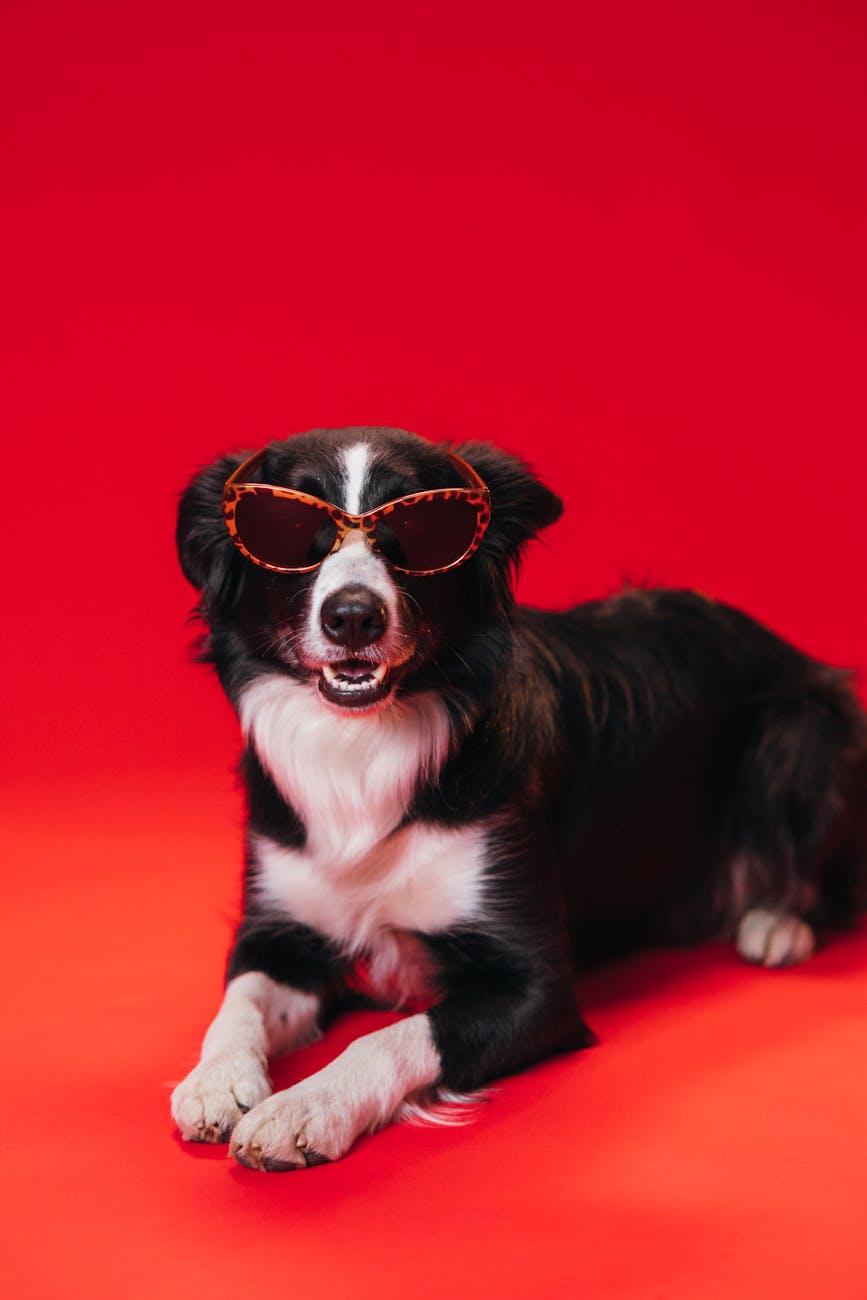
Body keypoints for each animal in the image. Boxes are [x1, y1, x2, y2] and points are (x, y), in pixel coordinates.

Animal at [168, 423, 867, 1170]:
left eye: (424, 531)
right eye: (287, 527)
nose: (352, 617)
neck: (362, 746)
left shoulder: (536, 987)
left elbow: (395, 1035)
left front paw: (308, 1105)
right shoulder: (278, 929)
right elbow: (239, 999)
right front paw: (215, 1079)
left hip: (804, 731)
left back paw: (776, 923)